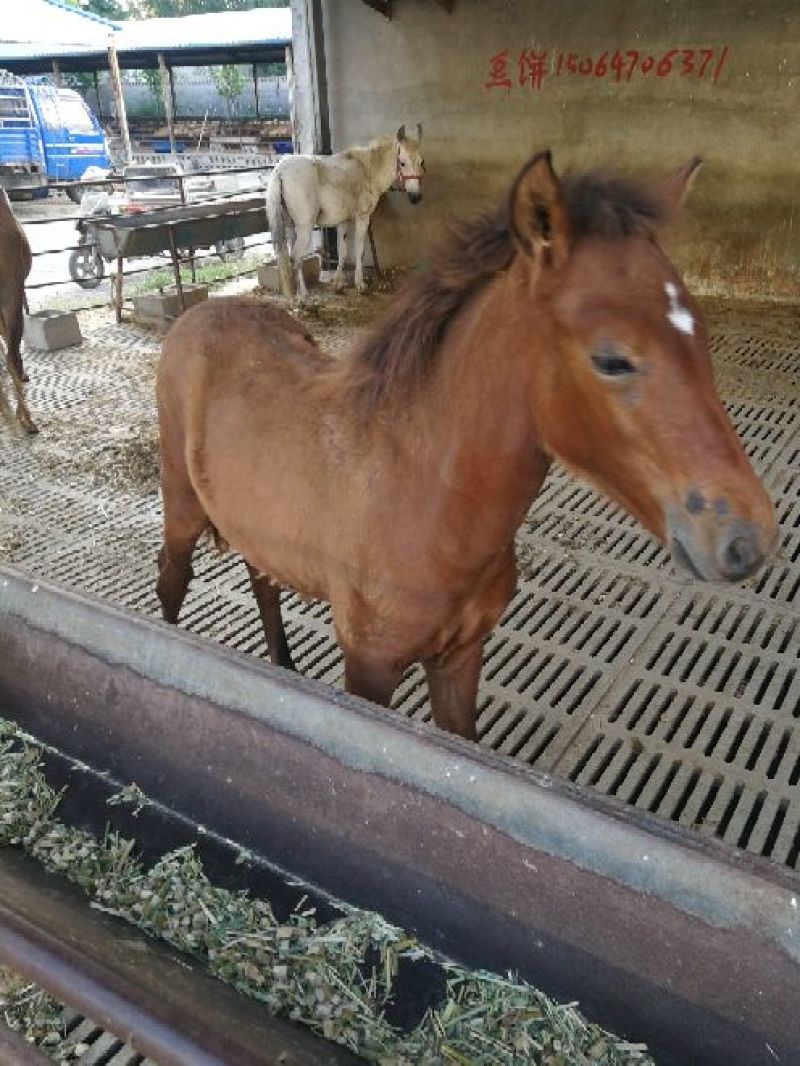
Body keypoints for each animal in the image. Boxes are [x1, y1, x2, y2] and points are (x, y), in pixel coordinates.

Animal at [156, 149, 776, 742]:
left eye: (700, 332)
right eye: (612, 359)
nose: (747, 539)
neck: (426, 500)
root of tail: (201, 312)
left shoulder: (461, 655)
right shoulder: (369, 665)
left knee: (262, 580)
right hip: (182, 509)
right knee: (171, 584)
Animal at [265, 125, 424, 302]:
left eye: (421, 162)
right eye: (402, 163)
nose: (416, 197)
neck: (368, 170)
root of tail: (280, 169)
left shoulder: (343, 221)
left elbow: (342, 251)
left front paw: (338, 284)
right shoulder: (362, 218)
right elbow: (359, 251)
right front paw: (360, 284)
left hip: (290, 227)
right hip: (304, 227)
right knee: (297, 257)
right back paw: (304, 297)